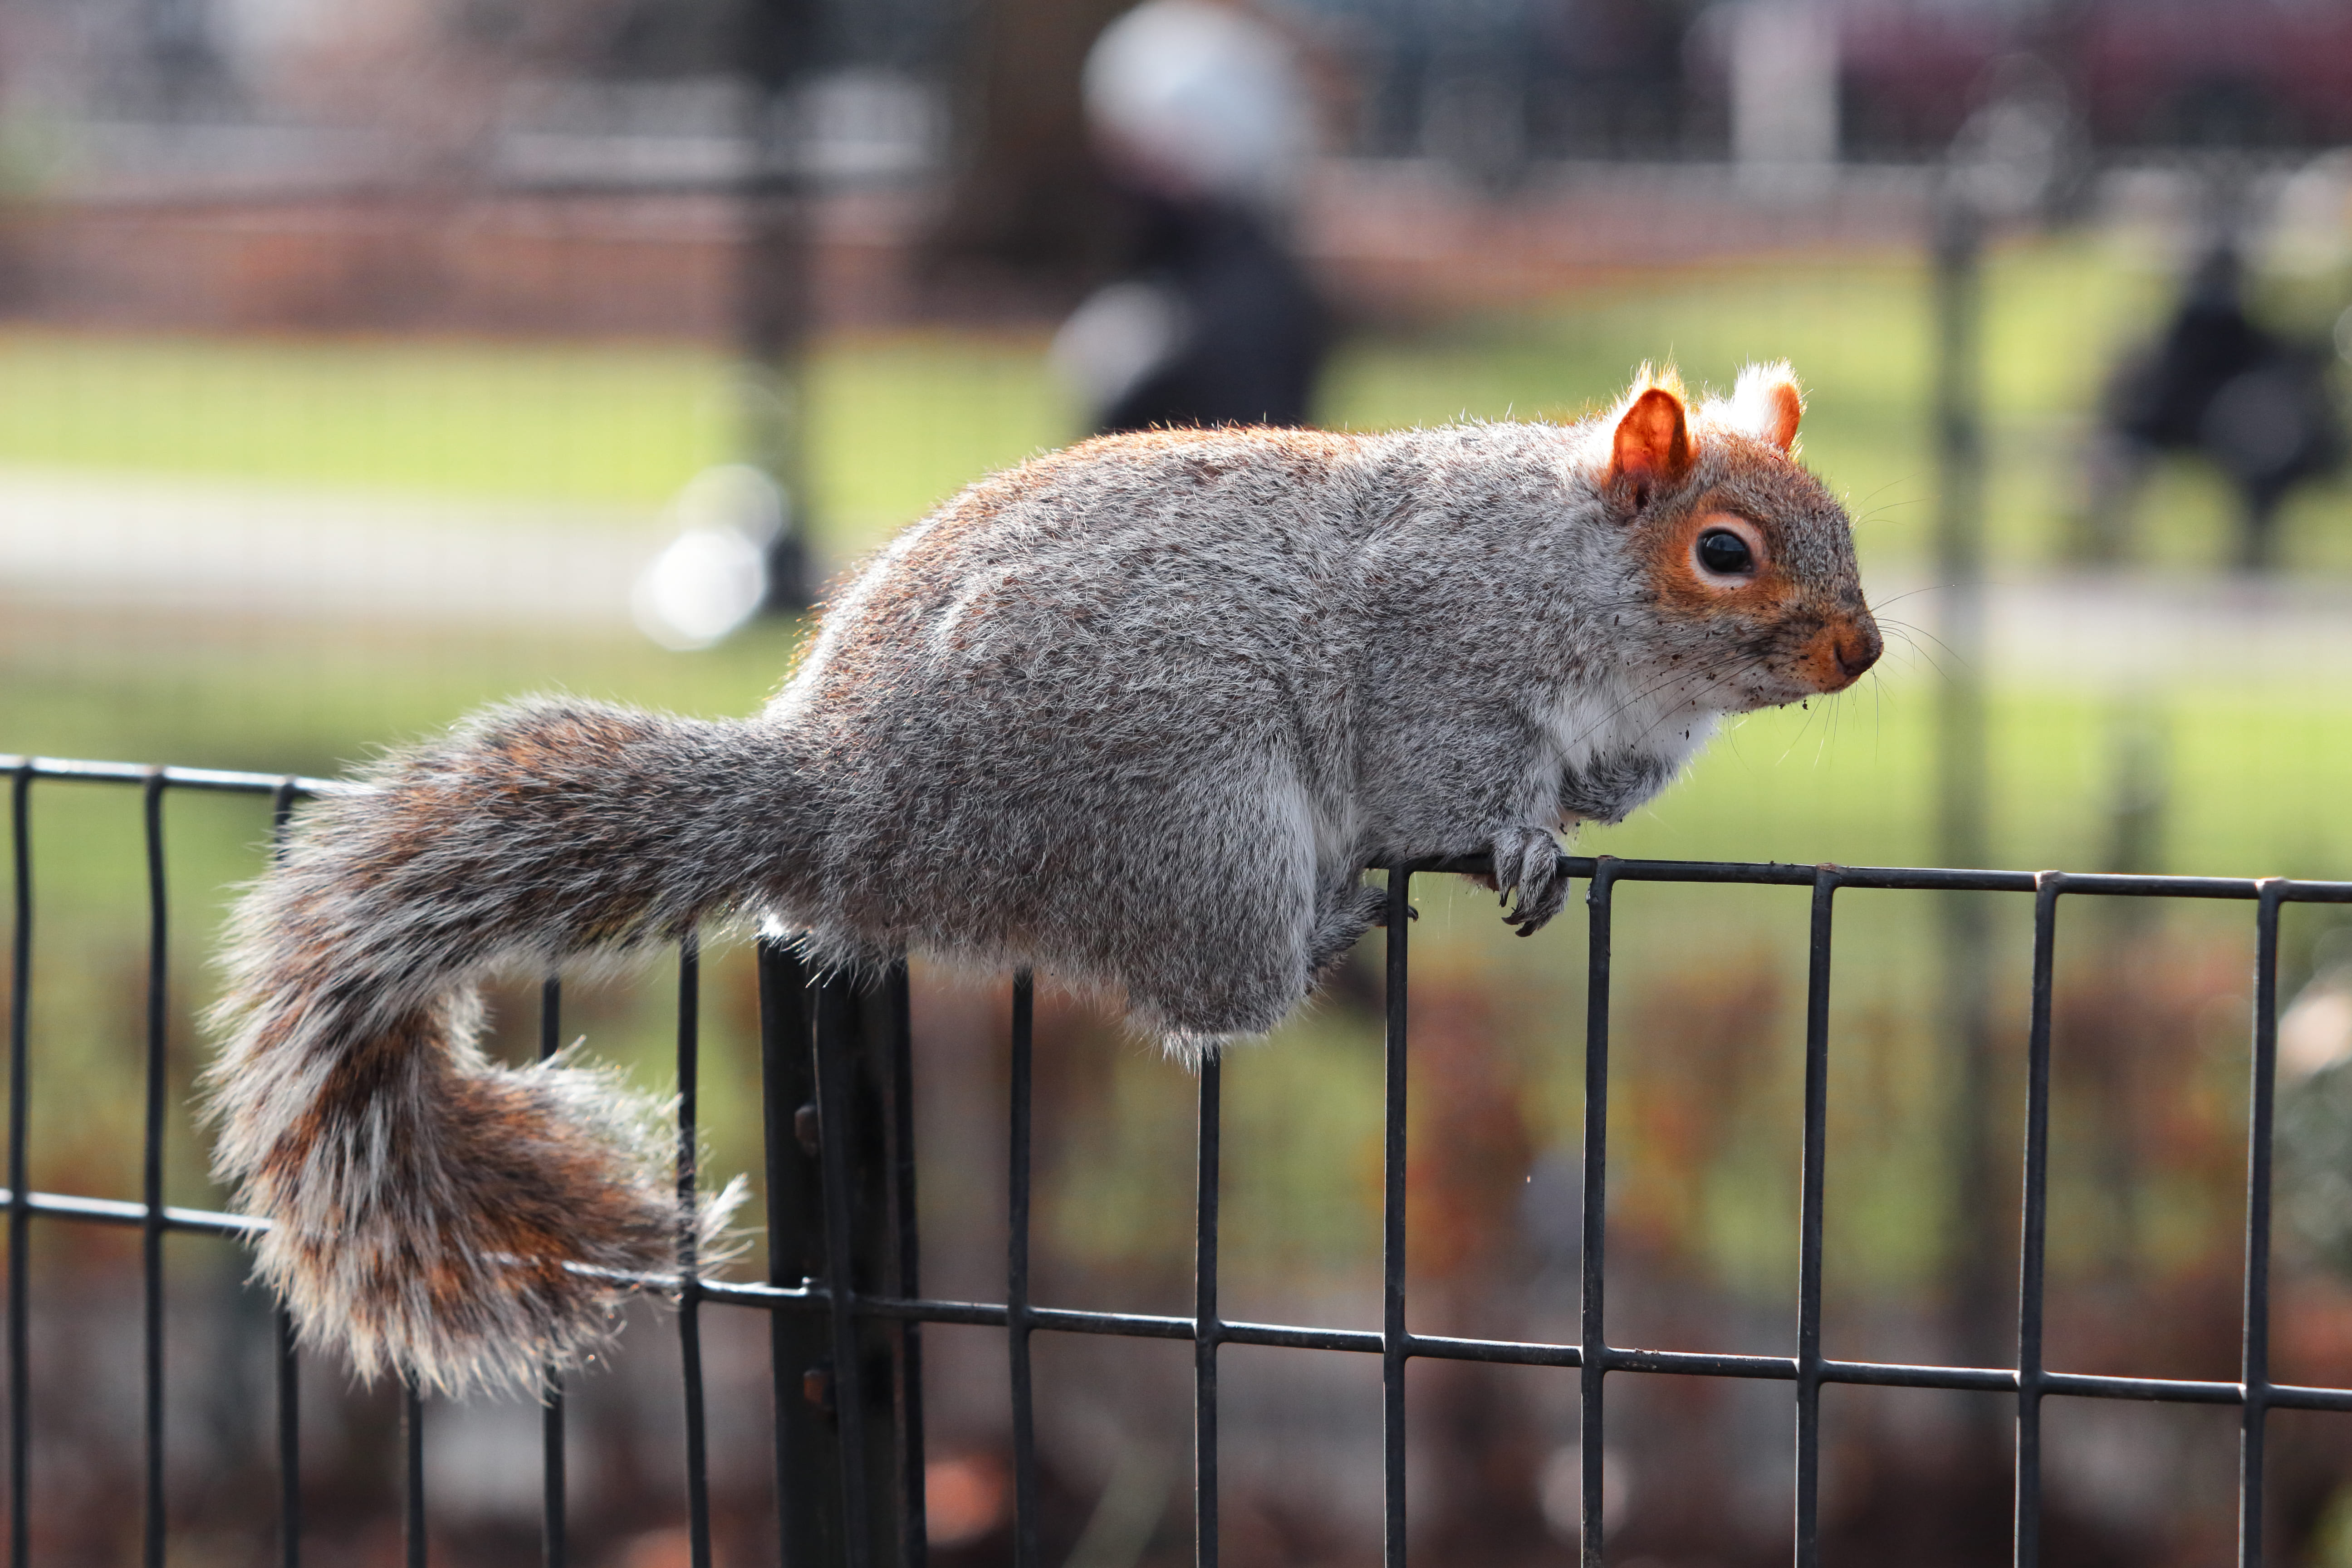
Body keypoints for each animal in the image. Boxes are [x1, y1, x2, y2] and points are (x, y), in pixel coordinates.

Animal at [203, 363, 1880, 1395]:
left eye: (1850, 528)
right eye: (1724, 550)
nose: (1862, 651)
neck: (1572, 578)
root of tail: (848, 814)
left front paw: (1591, 807)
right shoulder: (1437, 661)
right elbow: (1457, 777)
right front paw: (1525, 834)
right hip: (1195, 811)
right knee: (1210, 1000)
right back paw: (1326, 927)